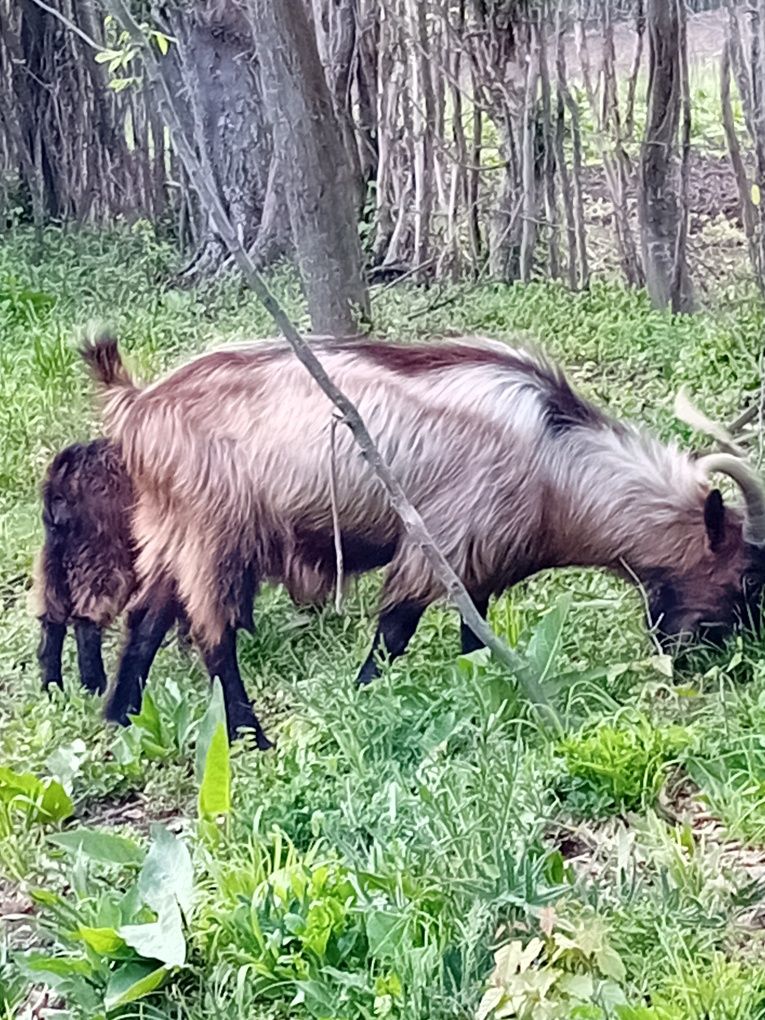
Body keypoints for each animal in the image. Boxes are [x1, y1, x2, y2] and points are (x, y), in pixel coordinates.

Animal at [82, 338, 765, 746]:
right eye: (749, 577)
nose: (735, 660)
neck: (555, 456)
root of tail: (140, 405)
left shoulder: (481, 570)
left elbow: (474, 647)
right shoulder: (438, 544)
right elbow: (392, 633)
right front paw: (361, 702)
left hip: (171, 534)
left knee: (145, 619)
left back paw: (119, 716)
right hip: (214, 535)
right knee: (214, 637)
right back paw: (252, 735)